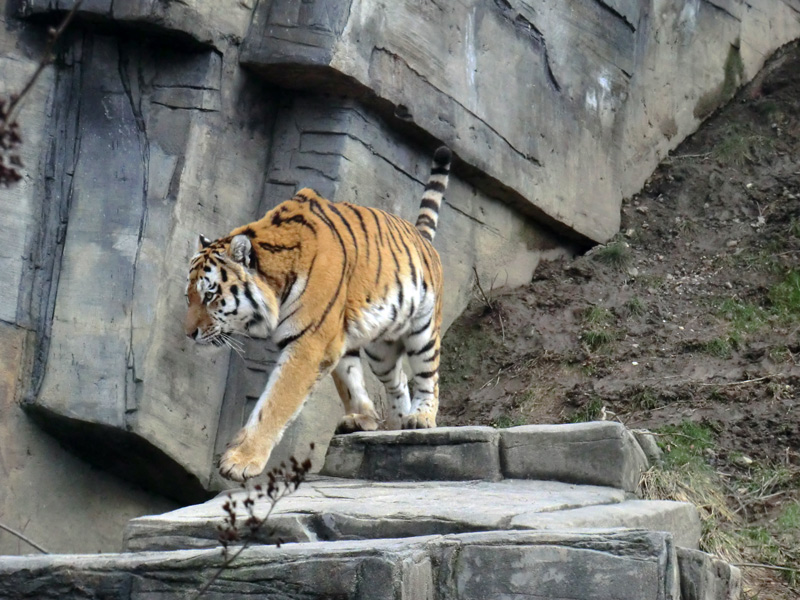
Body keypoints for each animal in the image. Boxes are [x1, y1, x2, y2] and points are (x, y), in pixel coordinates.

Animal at [184, 146, 454, 482]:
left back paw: (421, 418)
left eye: (210, 296)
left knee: (429, 376)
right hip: (379, 350)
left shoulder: (310, 342)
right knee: (396, 379)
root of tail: (419, 236)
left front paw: (240, 461)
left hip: (423, 331)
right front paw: (364, 417)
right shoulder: (330, 340)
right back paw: (386, 422)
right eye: (189, 296)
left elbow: (275, 403)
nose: (189, 333)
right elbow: (347, 383)